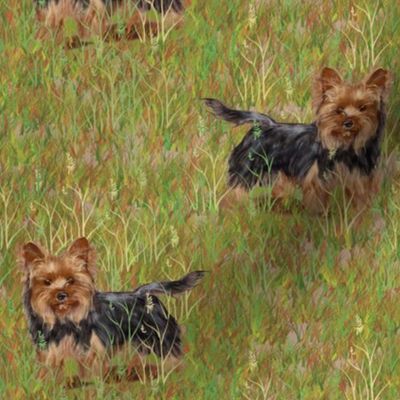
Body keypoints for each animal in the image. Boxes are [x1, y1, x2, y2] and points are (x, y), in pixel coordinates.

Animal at [20, 238, 205, 382]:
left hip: (161, 338)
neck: (64, 319)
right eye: (47, 282)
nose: (61, 295)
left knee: (173, 358)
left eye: (71, 280)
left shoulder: (90, 350)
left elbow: (89, 371)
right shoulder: (50, 351)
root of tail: (143, 294)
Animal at [205, 69, 392, 212]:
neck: (347, 146)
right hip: (247, 171)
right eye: (338, 110)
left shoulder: (360, 178)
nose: (348, 122)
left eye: (363, 108)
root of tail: (265, 124)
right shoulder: (318, 179)